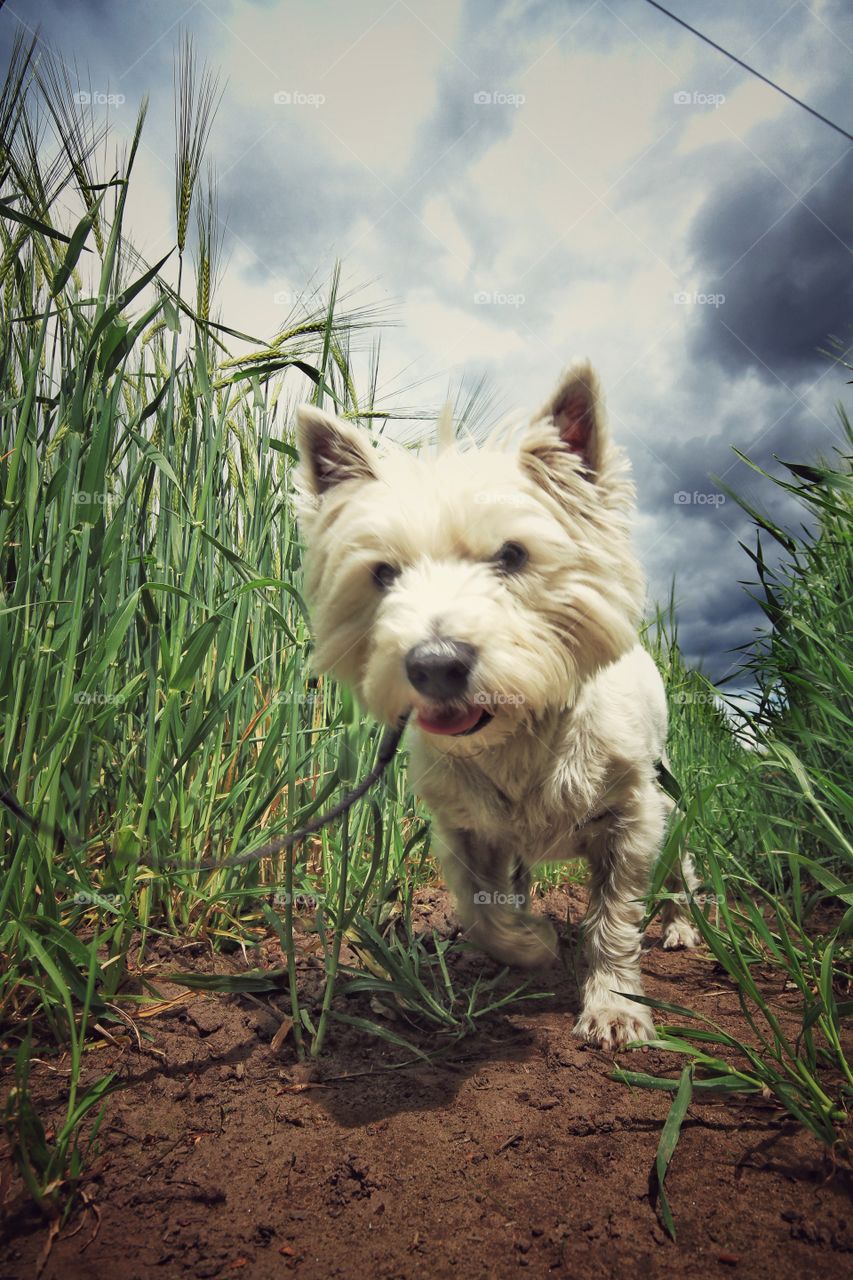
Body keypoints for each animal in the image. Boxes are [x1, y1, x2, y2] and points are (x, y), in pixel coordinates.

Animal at [292, 360, 696, 1049]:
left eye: (511, 555)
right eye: (383, 574)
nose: (433, 664)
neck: (522, 735)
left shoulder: (633, 817)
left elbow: (615, 918)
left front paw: (614, 1007)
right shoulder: (464, 826)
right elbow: (482, 908)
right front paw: (529, 945)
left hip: (669, 801)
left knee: (682, 870)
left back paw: (682, 926)